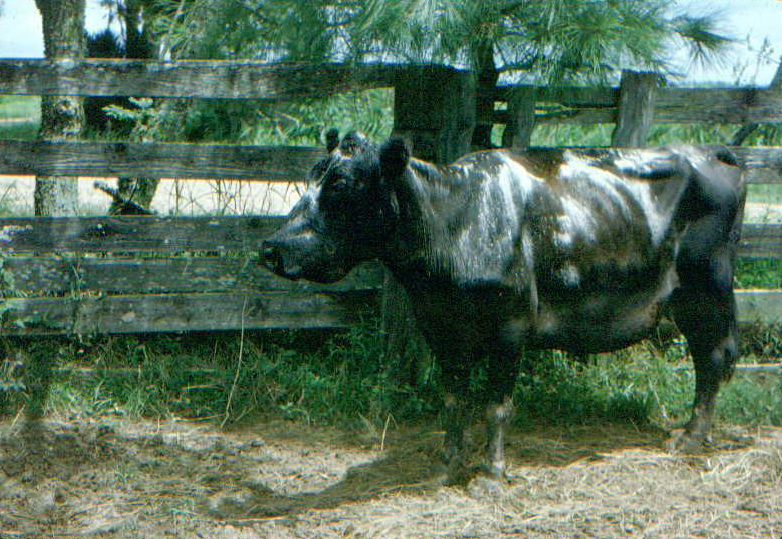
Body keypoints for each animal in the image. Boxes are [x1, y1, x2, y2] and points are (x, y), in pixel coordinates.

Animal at [261, 130, 746, 483]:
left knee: (714, 356)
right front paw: (448, 463)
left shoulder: (511, 326)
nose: (271, 248)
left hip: (707, 285)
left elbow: (496, 405)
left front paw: (492, 473)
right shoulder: (439, 325)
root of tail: (709, 149)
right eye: (313, 175)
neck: (454, 223)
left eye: (341, 184)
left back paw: (690, 439)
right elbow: (454, 399)